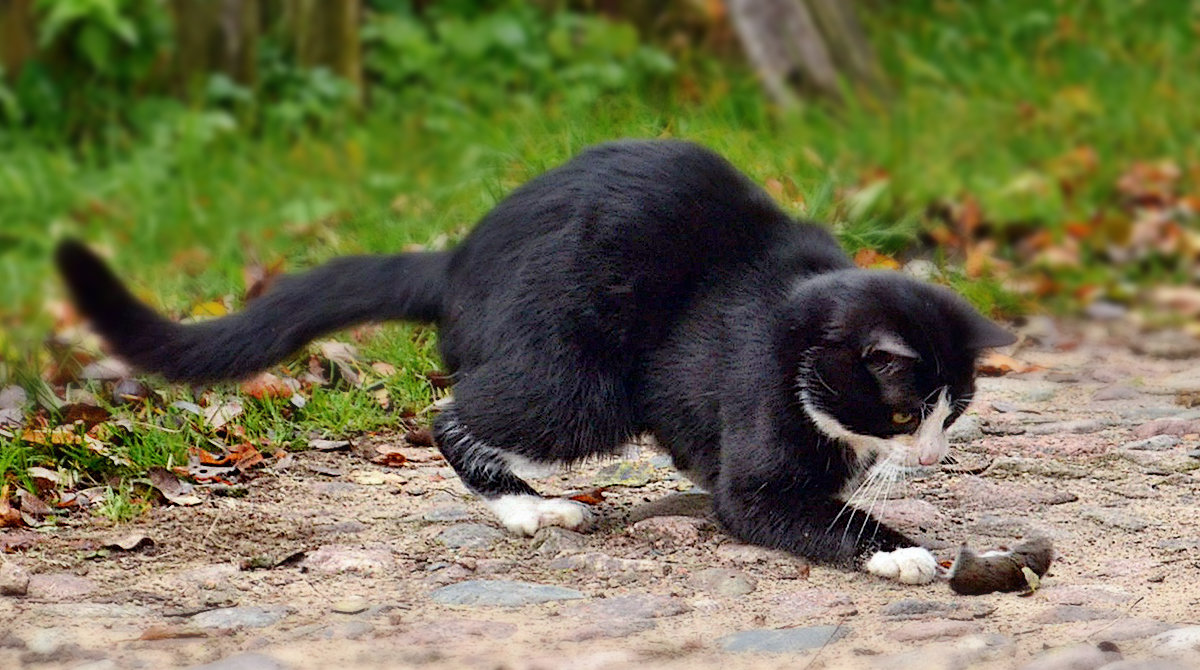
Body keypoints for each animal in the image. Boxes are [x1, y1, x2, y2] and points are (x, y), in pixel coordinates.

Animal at [56, 140, 1012, 583]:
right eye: (904, 411)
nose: (936, 453)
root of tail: (456, 260)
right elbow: (792, 508)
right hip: (580, 382)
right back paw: (528, 510)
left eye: (953, 411)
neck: (796, 328)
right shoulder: (757, 426)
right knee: (453, 412)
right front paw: (900, 552)